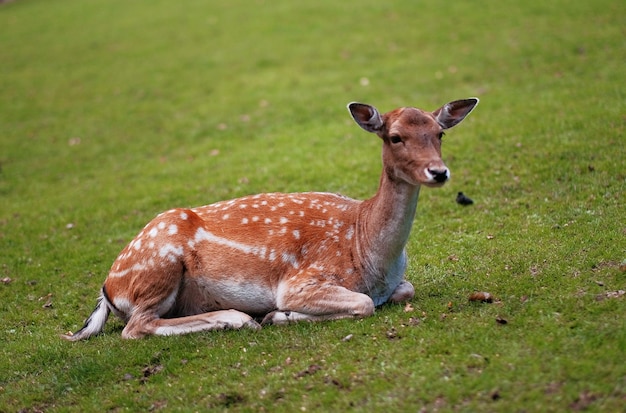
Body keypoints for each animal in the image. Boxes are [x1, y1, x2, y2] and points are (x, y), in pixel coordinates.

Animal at [59, 98, 478, 340]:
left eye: (439, 133)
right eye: (395, 137)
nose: (439, 172)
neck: (368, 250)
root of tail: (107, 288)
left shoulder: (395, 283)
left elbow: (406, 289)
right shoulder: (302, 280)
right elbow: (362, 304)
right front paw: (278, 316)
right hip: (158, 266)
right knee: (135, 327)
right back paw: (236, 318)